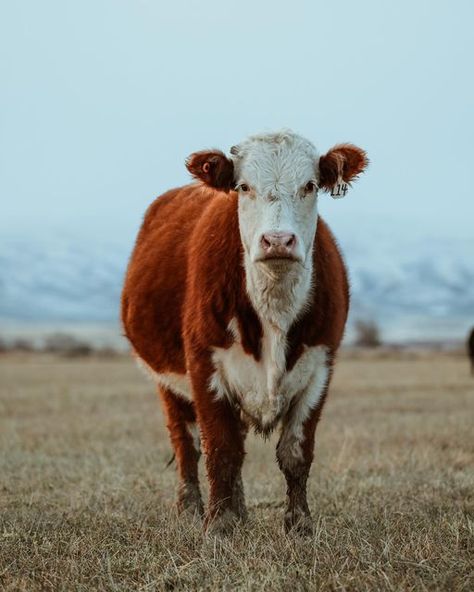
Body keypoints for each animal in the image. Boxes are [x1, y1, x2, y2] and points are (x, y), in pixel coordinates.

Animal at [120, 130, 368, 536]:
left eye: (310, 185)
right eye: (243, 186)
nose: (278, 240)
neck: (274, 310)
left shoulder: (319, 368)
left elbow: (295, 453)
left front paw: (299, 525)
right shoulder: (204, 366)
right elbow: (221, 449)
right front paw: (218, 526)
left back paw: (240, 512)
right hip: (166, 380)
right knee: (187, 443)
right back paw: (191, 509)